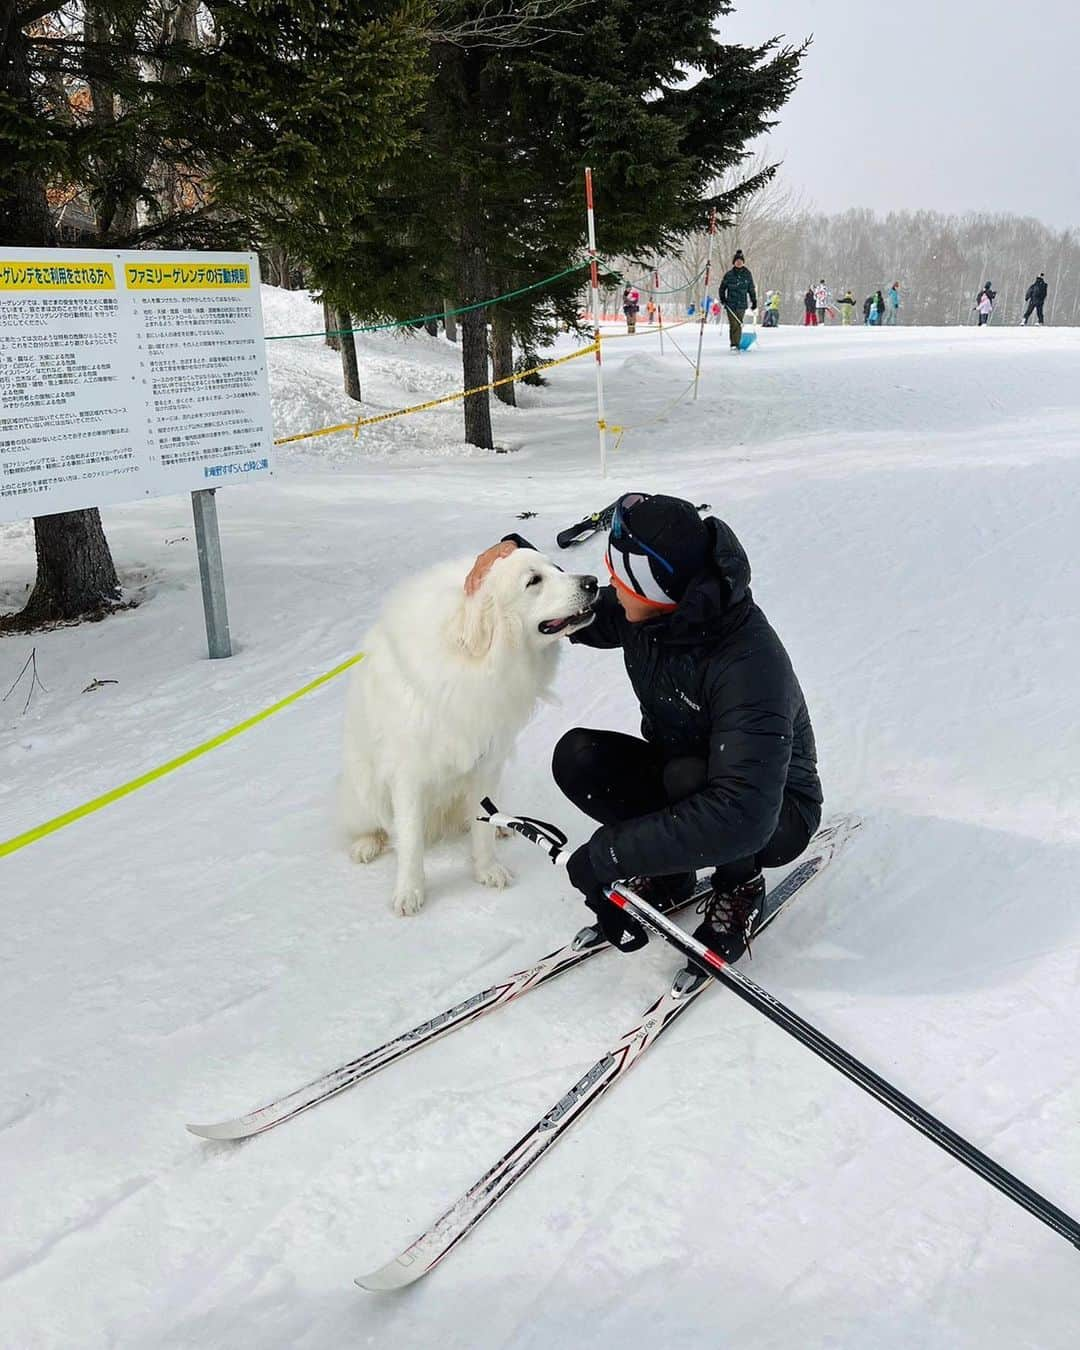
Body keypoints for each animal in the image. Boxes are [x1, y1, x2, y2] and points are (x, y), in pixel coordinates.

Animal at [341, 548, 594, 918]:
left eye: (557, 568)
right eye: (534, 580)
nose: (593, 582)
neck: (474, 659)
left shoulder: (487, 761)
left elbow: (481, 827)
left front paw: (487, 869)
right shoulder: (408, 775)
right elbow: (411, 841)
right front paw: (409, 892)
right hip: (364, 787)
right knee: (372, 824)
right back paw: (367, 844)